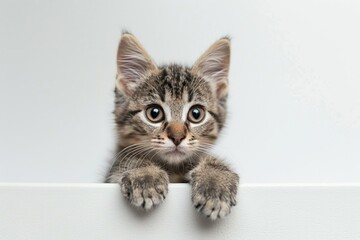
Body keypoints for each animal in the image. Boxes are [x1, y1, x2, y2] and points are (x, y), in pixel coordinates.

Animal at [104, 32, 239, 220]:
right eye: (154, 113)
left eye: (196, 114)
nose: (177, 137)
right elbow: (127, 159)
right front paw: (145, 176)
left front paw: (214, 182)